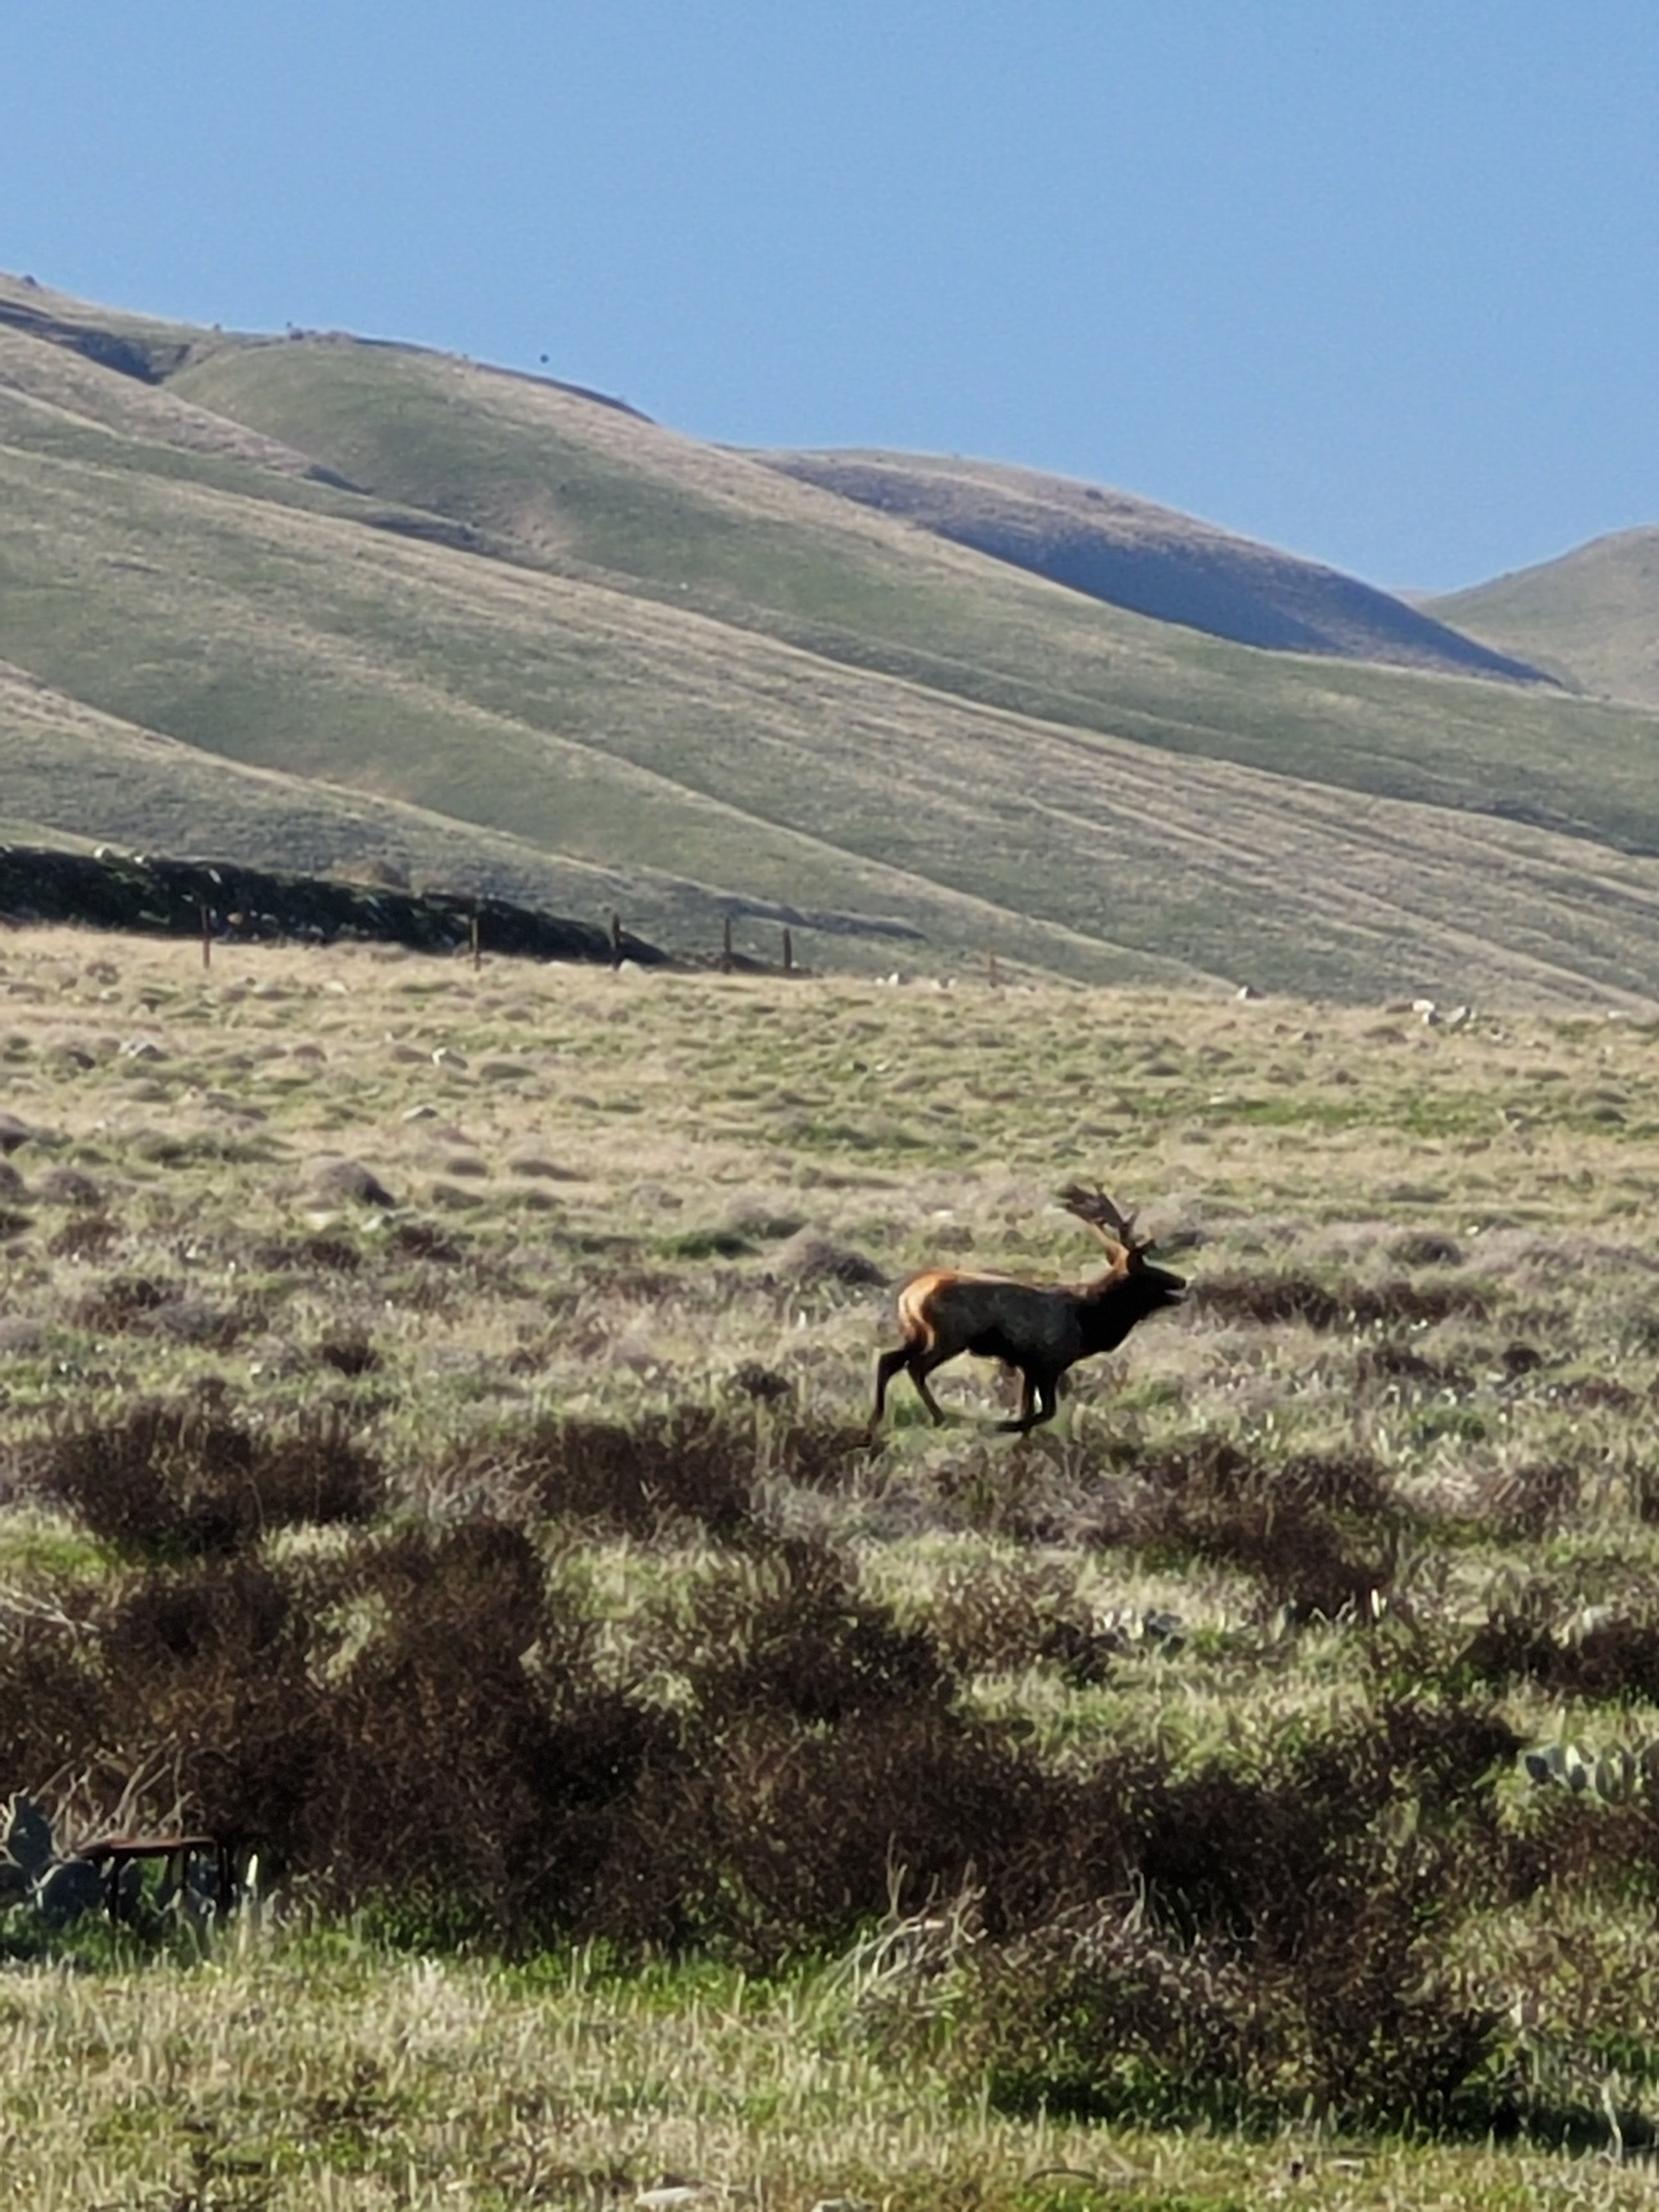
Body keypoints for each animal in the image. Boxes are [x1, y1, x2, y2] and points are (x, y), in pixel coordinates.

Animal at [876, 1185, 1185, 1424]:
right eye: (1149, 1274)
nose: (1181, 1281)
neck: (1090, 1324)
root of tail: (909, 1294)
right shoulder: (1049, 1361)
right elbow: (1044, 1412)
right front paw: (1005, 1427)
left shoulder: (1028, 1365)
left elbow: (1028, 1408)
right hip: (949, 1336)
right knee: (915, 1367)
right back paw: (938, 1416)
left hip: (917, 1333)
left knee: (888, 1360)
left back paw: (876, 1420)